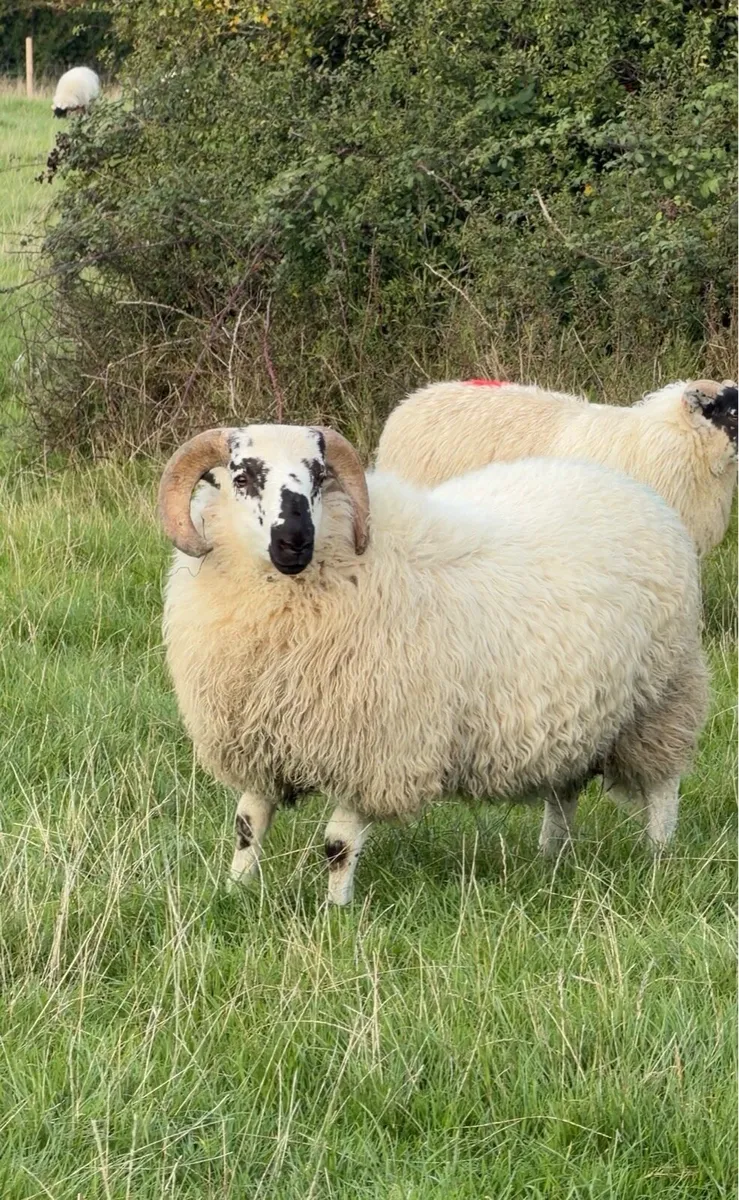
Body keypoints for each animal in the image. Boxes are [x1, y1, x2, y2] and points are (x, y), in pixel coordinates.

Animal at [158, 423, 708, 905]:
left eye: (318, 475)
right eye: (243, 477)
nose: (294, 539)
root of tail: (631, 487)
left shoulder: (375, 750)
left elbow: (338, 845)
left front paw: (336, 910)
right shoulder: (258, 738)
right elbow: (246, 828)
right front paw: (235, 892)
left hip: (663, 697)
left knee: (663, 786)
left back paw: (658, 856)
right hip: (576, 717)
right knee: (563, 791)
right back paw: (552, 859)